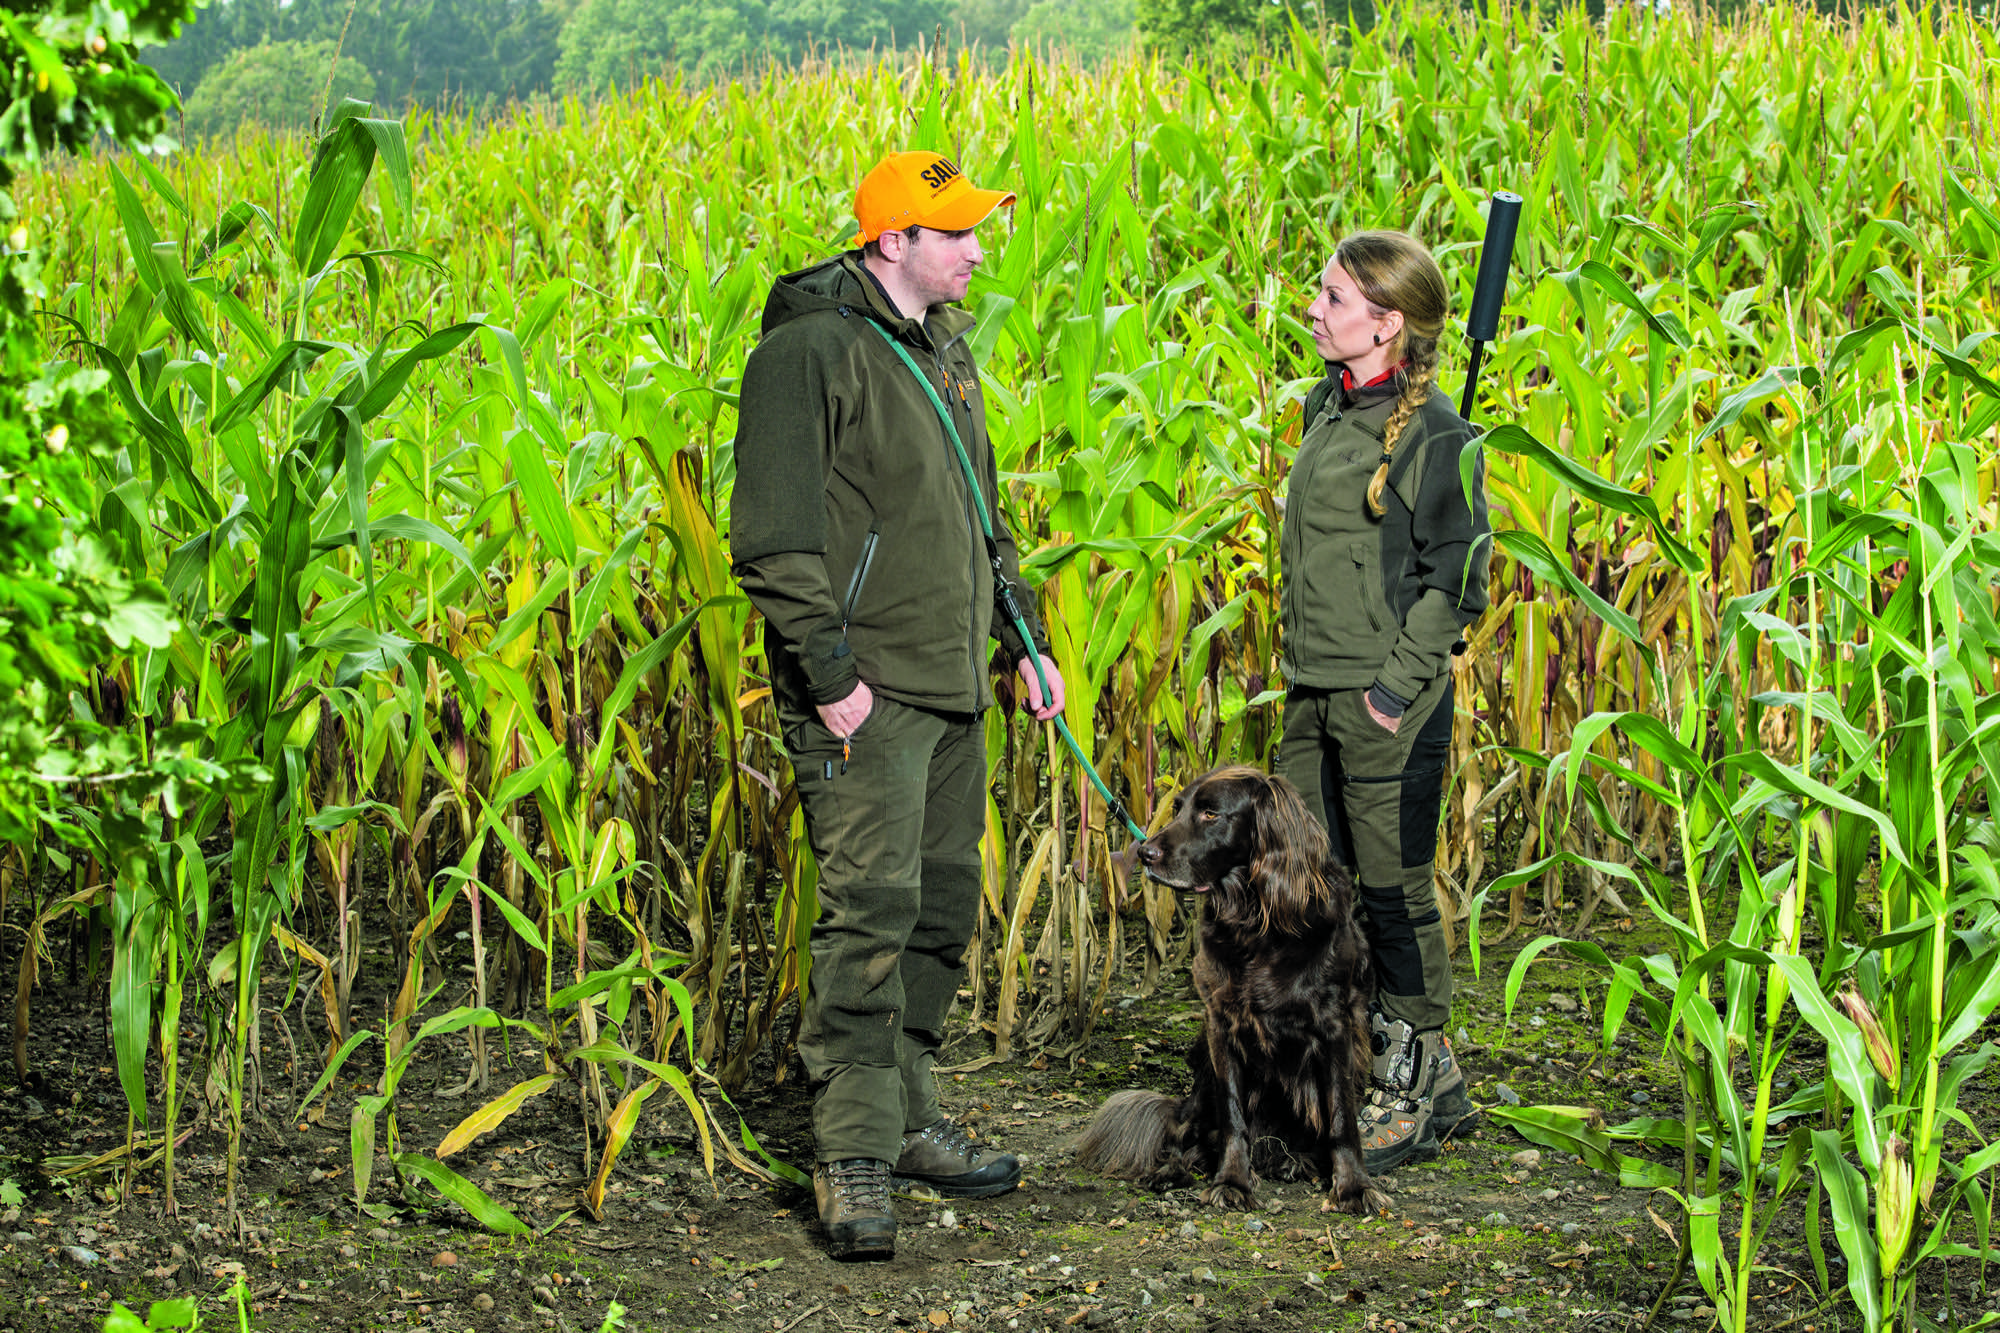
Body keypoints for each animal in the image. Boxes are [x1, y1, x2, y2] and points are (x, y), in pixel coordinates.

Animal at [1080, 764, 1392, 1208]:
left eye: (1211, 814)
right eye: (1177, 808)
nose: (1145, 854)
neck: (1256, 918)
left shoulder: (1336, 1027)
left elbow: (1341, 1115)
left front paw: (1353, 1186)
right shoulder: (1222, 1026)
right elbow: (1232, 1115)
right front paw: (1231, 1181)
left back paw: (1293, 1161)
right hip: (1200, 1076)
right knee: (1185, 1136)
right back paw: (1174, 1170)